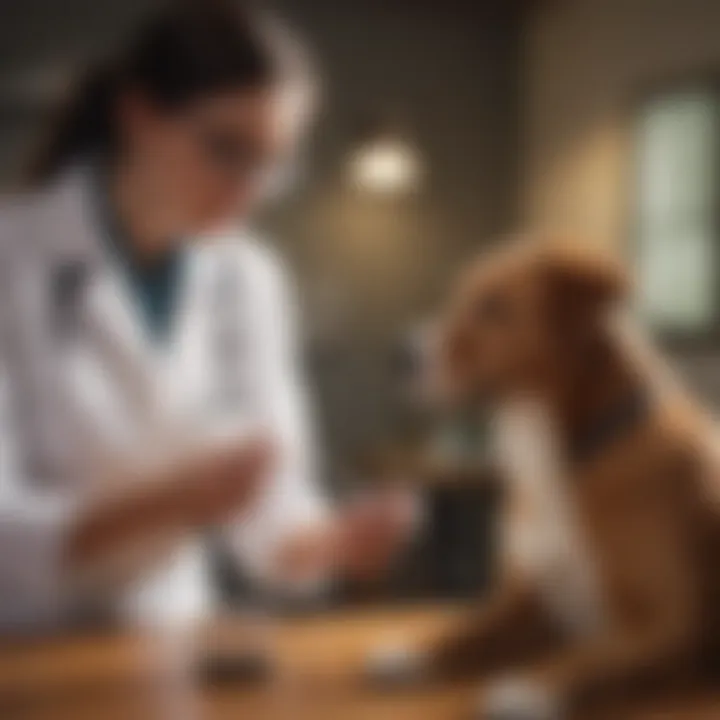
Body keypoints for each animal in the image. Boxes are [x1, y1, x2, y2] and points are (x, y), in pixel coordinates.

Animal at [368, 235, 720, 716]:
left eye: (494, 306)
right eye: (459, 295)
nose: (397, 354)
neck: (565, 459)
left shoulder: (666, 623)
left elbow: (591, 655)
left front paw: (530, 688)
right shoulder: (531, 599)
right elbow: (469, 628)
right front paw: (415, 653)